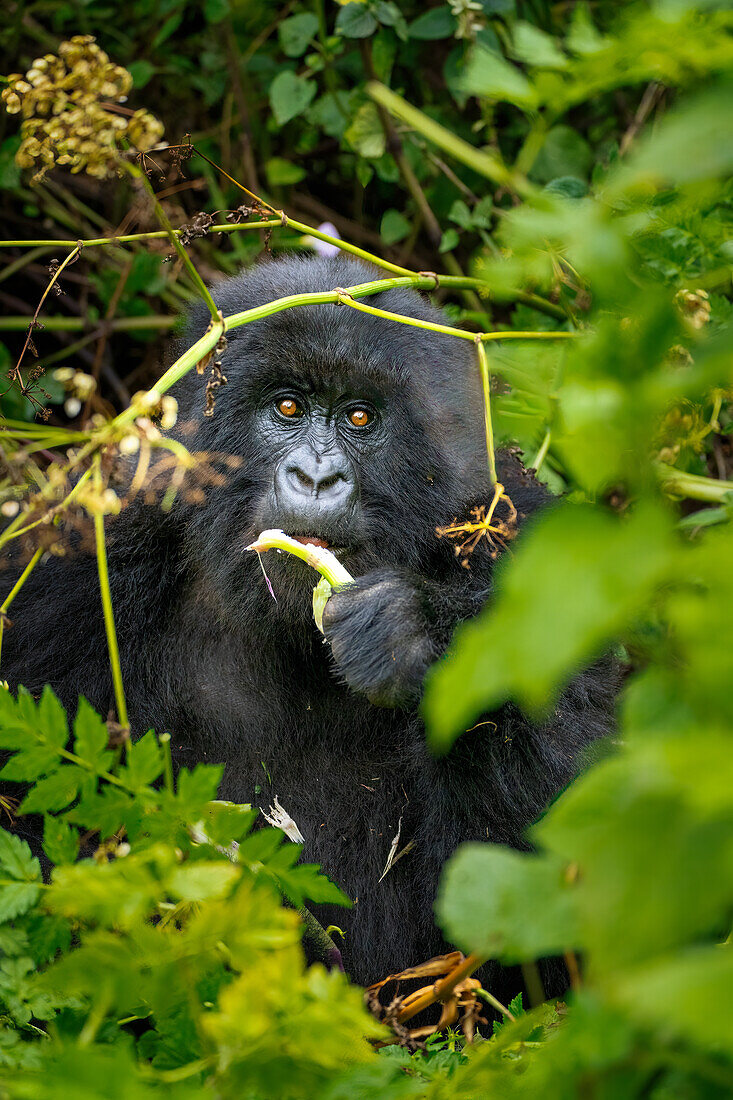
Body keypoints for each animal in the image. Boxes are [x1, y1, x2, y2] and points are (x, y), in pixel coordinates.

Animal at [2, 255, 611, 990]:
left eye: (360, 417)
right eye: (287, 407)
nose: (316, 478)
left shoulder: (519, 540)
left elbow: (552, 863)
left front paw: (409, 636)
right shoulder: (78, 551)